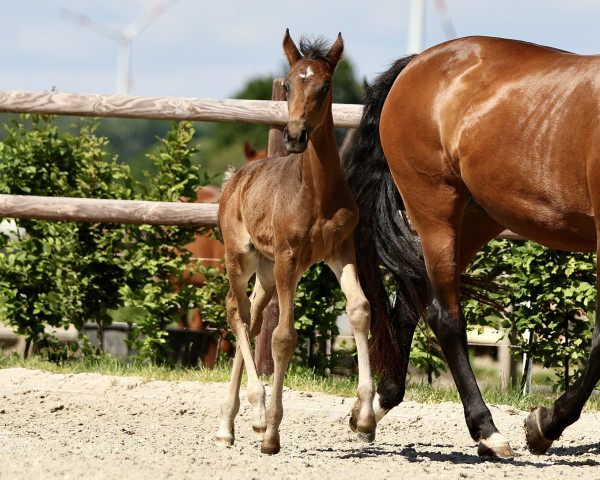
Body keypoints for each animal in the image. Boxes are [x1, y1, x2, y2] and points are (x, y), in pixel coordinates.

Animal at [216, 29, 376, 454]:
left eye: (326, 85)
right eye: (287, 84)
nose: (294, 135)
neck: (317, 192)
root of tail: (235, 179)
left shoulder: (340, 250)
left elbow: (360, 310)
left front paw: (365, 419)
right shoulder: (290, 257)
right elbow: (284, 337)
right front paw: (272, 432)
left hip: (268, 272)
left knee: (252, 318)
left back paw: (232, 423)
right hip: (242, 258)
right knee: (237, 314)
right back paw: (250, 416)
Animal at [344, 36, 600, 458]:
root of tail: (419, 61)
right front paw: (544, 424)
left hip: (476, 218)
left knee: (409, 307)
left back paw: (373, 408)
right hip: (435, 210)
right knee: (444, 318)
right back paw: (487, 431)